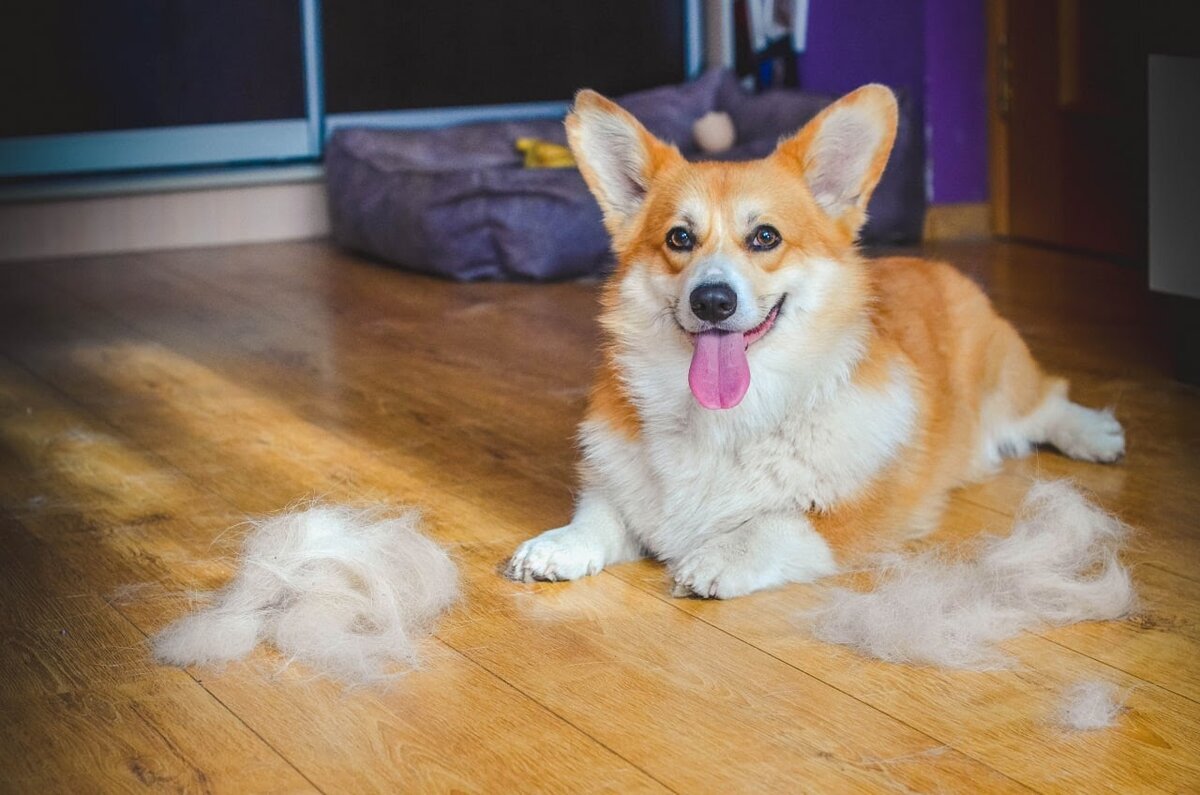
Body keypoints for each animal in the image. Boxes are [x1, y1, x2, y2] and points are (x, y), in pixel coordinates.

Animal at [501, 85, 1118, 598]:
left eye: (765, 236)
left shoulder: (855, 519)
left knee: (1048, 400)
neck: (726, 422)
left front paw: (718, 557)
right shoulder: (620, 489)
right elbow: (600, 515)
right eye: (679, 238)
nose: (712, 301)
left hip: (1004, 379)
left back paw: (1095, 435)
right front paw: (558, 546)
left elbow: (776, 523)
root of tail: (933, 264)